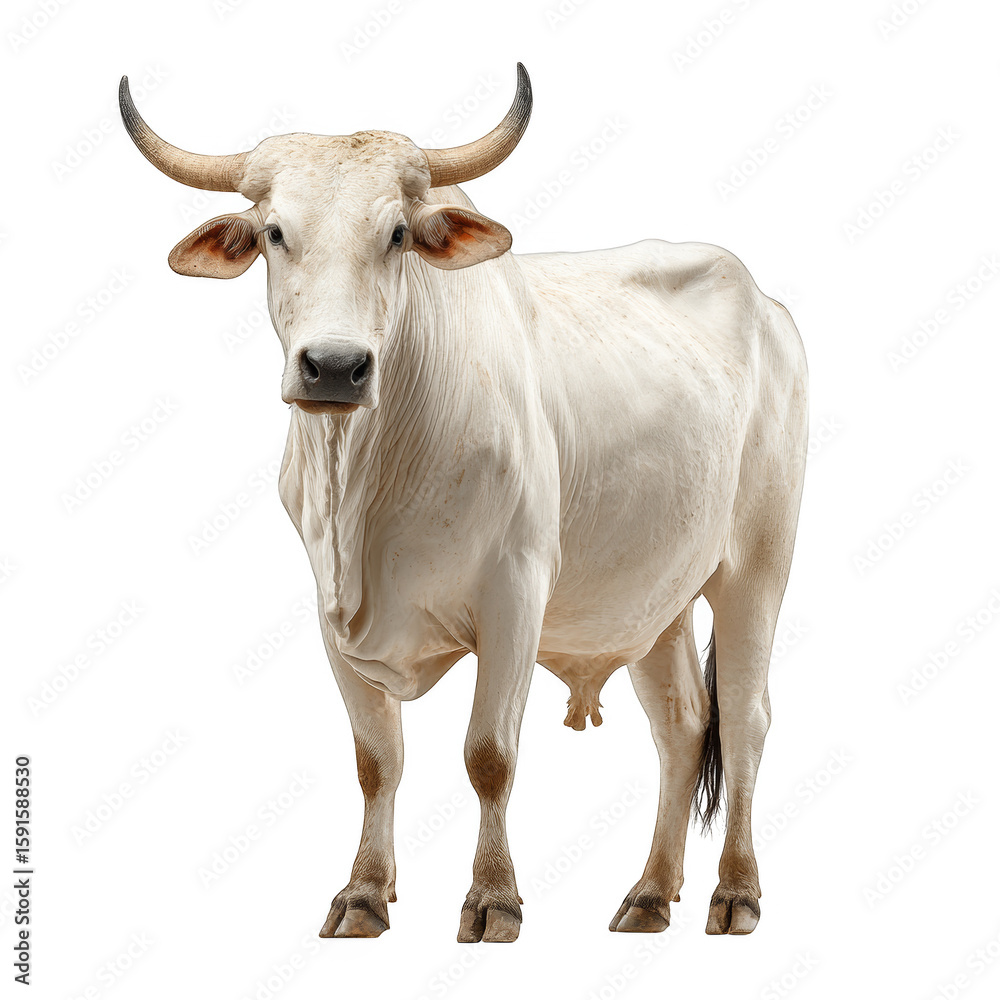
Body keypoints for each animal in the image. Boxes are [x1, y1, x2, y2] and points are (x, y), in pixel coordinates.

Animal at [120, 65, 807, 943]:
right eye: (275, 232)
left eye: (398, 235)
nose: (333, 368)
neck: (369, 484)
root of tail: (766, 304)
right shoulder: (329, 614)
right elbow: (376, 760)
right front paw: (364, 893)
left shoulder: (515, 596)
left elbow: (489, 756)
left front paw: (493, 899)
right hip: (654, 595)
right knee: (682, 724)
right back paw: (651, 894)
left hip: (756, 565)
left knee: (746, 718)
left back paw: (736, 892)